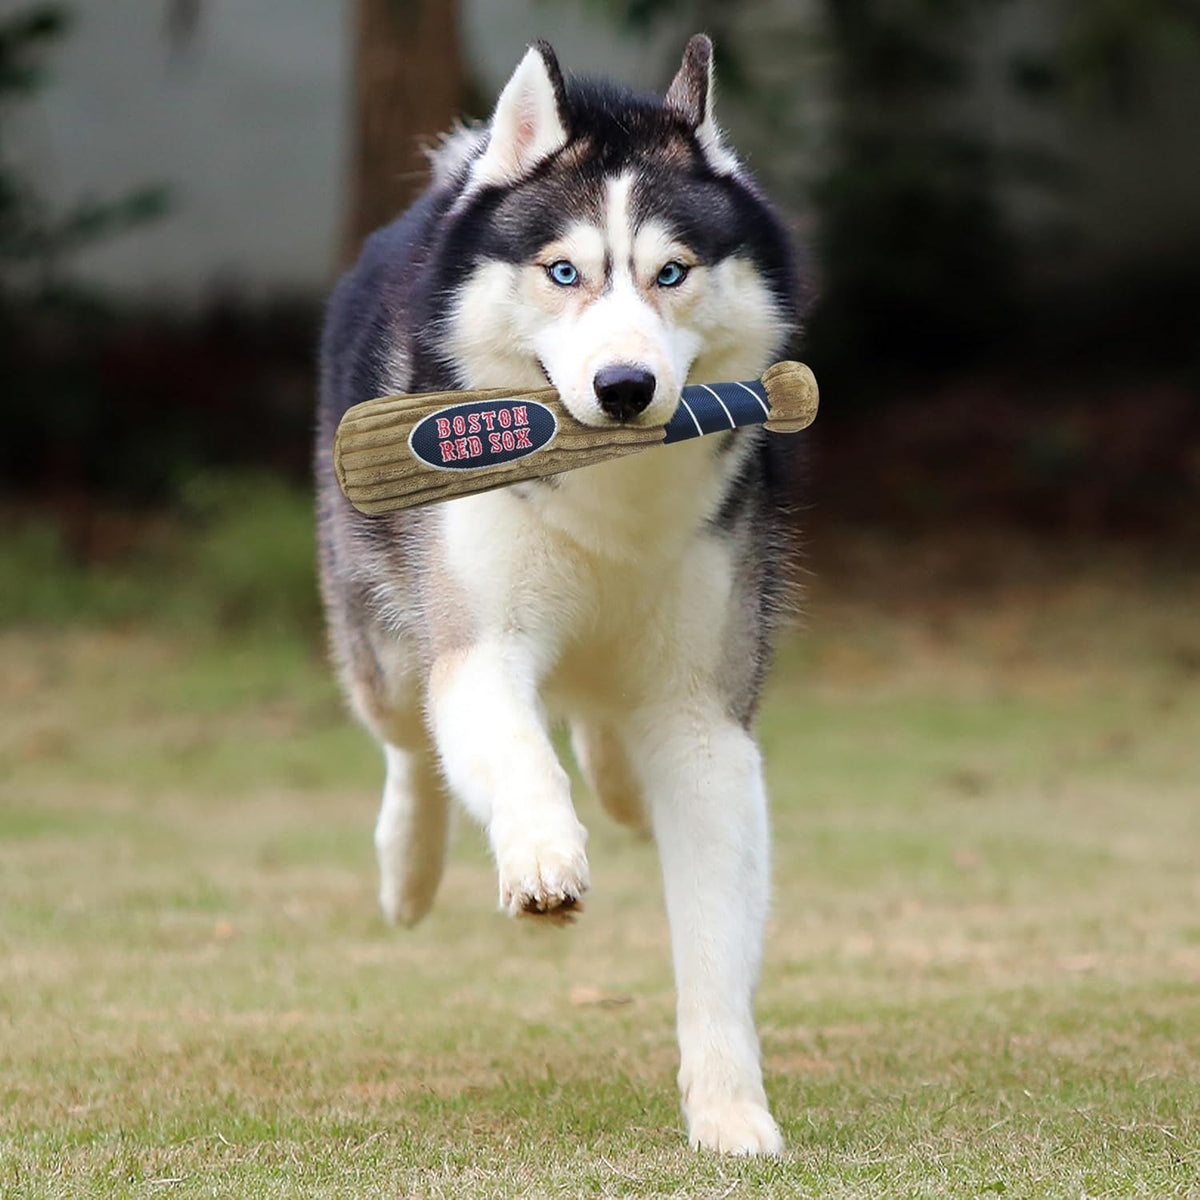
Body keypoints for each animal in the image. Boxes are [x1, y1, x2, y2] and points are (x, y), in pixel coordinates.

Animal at [319, 35, 806, 1152]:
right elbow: (506, 747)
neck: (607, 495)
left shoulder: (704, 714)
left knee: (604, 725)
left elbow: (715, 934)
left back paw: (618, 780)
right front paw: (542, 856)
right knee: (410, 739)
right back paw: (409, 866)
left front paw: (729, 1109)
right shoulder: (478, 646)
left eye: (671, 272)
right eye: (564, 271)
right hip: (382, 636)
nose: (626, 388)